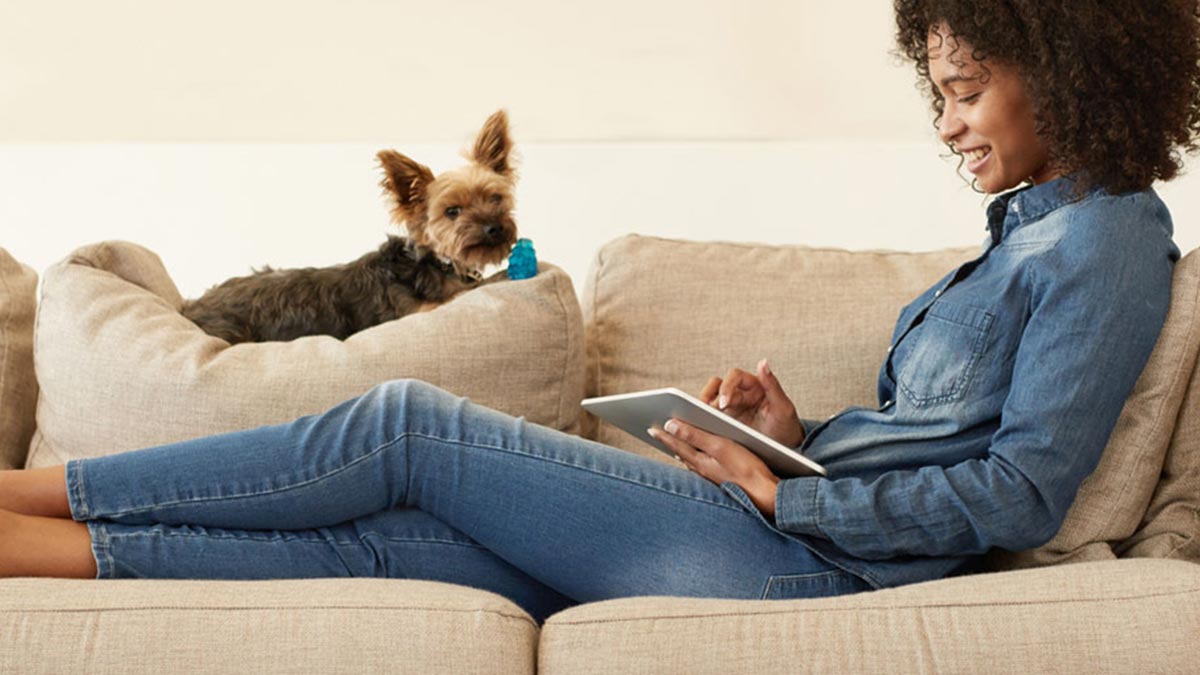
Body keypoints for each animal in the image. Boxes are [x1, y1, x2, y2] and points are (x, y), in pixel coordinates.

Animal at [180, 111, 518, 343]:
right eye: (452, 211)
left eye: (496, 198)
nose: (494, 228)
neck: (437, 262)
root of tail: (191, 307)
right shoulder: (419, 313)